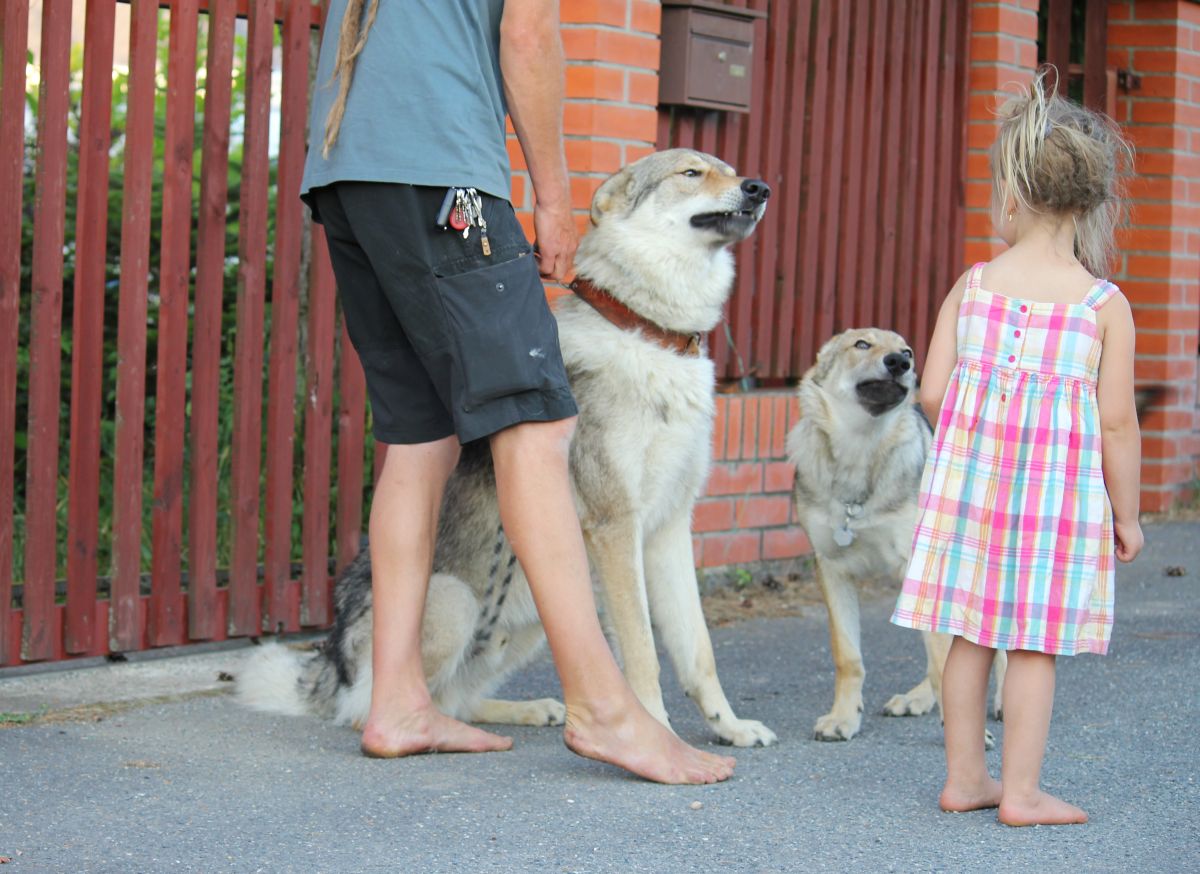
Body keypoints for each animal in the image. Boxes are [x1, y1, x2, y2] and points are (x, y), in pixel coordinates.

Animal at [236, 148, 777, 744]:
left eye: (730, 170)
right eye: (691, 173)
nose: (759, 187)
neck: (648, 332)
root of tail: (329, 662)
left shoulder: (669, 529)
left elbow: (698, 652)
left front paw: (731, 728)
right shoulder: (615, 528)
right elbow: (642, 653)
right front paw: (656, 736)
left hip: (536, 614)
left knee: (459, 700)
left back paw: (530, 712)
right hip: (457, 602)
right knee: (374, 707)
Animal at [782, 331, 1008, 739]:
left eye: (908, 352)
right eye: (861, 344)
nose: (899, 363)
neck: (860, 453)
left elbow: (942, 658)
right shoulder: (832, 571)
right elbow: (848, 657)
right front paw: (844, 718)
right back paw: (917, 698)